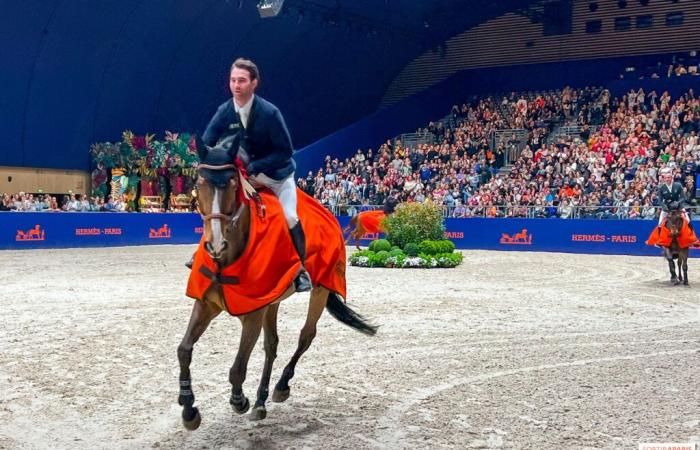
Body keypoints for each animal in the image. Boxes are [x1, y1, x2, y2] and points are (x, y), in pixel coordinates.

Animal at [178, 136, 380, 428]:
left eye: (232, 184)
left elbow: (237, 368)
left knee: (306, 336)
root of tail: (328, 213)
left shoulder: (252, 314)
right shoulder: (207, 304)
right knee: (271, 345)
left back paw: (280, 387)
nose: (215, 245)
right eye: (198, 184)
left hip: (321, 289)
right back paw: (261, 401)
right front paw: (188, 407)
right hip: (273, 301)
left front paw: (239, 401)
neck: (228, 257)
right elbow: (184, 350)